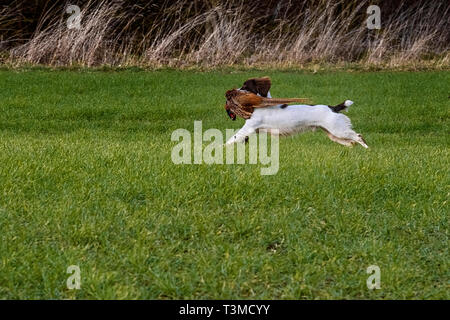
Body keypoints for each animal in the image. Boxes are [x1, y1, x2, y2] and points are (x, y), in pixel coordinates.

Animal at [225, 77, 370, 148]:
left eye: (245, 87)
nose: (230, 93)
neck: (262, 103)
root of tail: (333, 108)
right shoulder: (253, 130)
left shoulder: (249, 127)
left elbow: (233, 138)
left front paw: (221, 148)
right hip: (333, 133)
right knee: (351, 141)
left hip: (338, 129)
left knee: (358, 136)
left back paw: (367, 149)